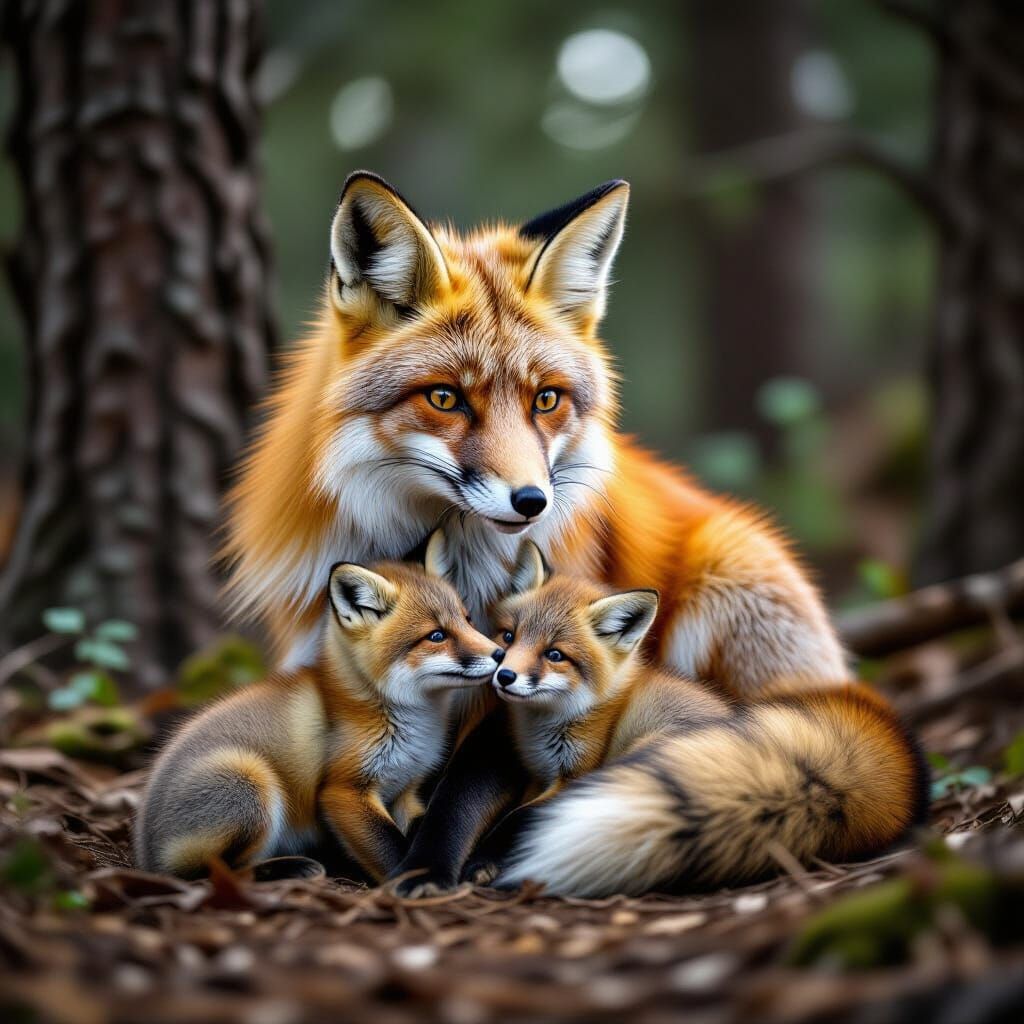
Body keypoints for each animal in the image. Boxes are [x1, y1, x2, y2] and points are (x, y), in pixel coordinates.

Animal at [134, 529, 503, 881]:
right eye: (437, 636)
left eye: (468, 619)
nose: (500, 654)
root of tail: (144, 850)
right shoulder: (344, 791)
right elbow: (390, 845)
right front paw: (415, 879)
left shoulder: (406, 792)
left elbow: (423, 829)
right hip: (250, 781)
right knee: (210, 870)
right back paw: (290, 868)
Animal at [222, 171, 856, 890]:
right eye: (445, 398)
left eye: (545, 399)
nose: (532, 502)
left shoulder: (514, 684)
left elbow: (460, 791)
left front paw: (429, 864)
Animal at [465, 542, 929, 896]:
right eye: (509, 636)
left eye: (555, 655)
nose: (504, 676)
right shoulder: (540, 776)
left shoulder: (574, 774)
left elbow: (517, 817)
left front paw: (482, 860)